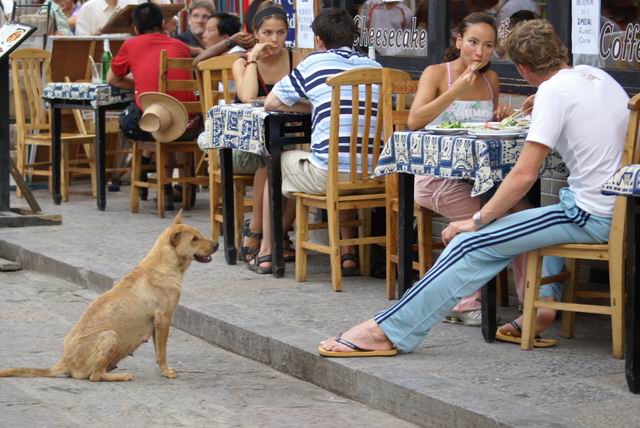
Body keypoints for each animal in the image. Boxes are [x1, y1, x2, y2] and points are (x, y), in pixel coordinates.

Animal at [0, 211, 218, 382]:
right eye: (194, 239)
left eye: (200, 235)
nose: (216, 245)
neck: (163, 264)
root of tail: (62, 362)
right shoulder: (163, 319)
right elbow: (163, 352)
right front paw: (166, 372)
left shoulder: (158, 324)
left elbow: (158, 351)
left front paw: (162, 370)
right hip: (111, 335)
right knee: (94, 376)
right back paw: (121, 376)